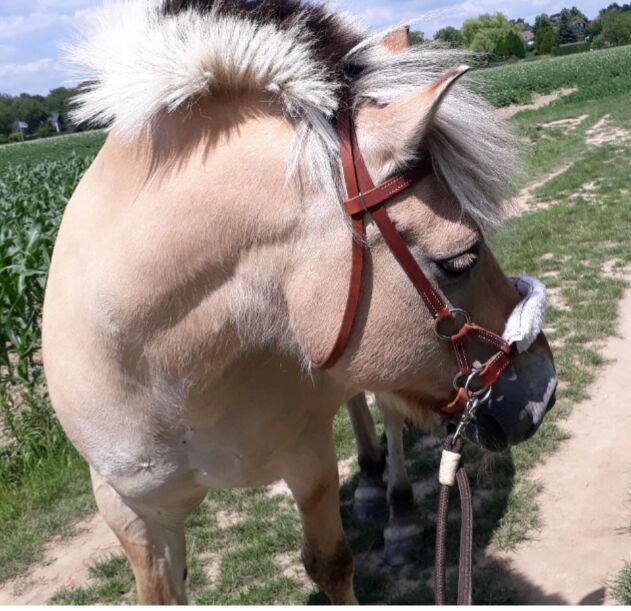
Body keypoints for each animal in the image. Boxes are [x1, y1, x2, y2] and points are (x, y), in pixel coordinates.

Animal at [43, 0, 556, 604]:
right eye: (461, 259)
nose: (544, 389)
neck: (165, 372)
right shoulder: (131, 512)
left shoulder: (309, 461)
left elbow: (331, 563)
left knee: (388, 414)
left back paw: (399, 515)